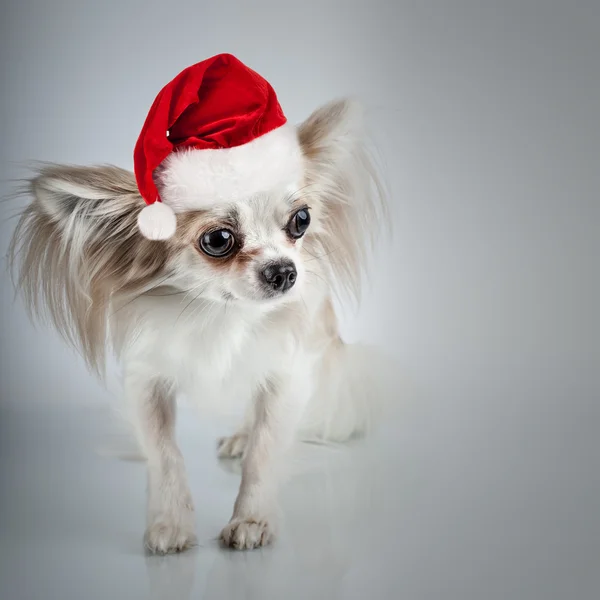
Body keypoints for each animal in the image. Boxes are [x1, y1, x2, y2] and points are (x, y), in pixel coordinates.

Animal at [8, 56, 390, 552]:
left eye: (301, 220)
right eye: (219, 240)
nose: (286, 270)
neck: (219, 314)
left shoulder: (286, 372)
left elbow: (265, 450)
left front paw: (252, 519)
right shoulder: (146, 380)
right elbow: (164, 454)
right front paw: (169, 523)